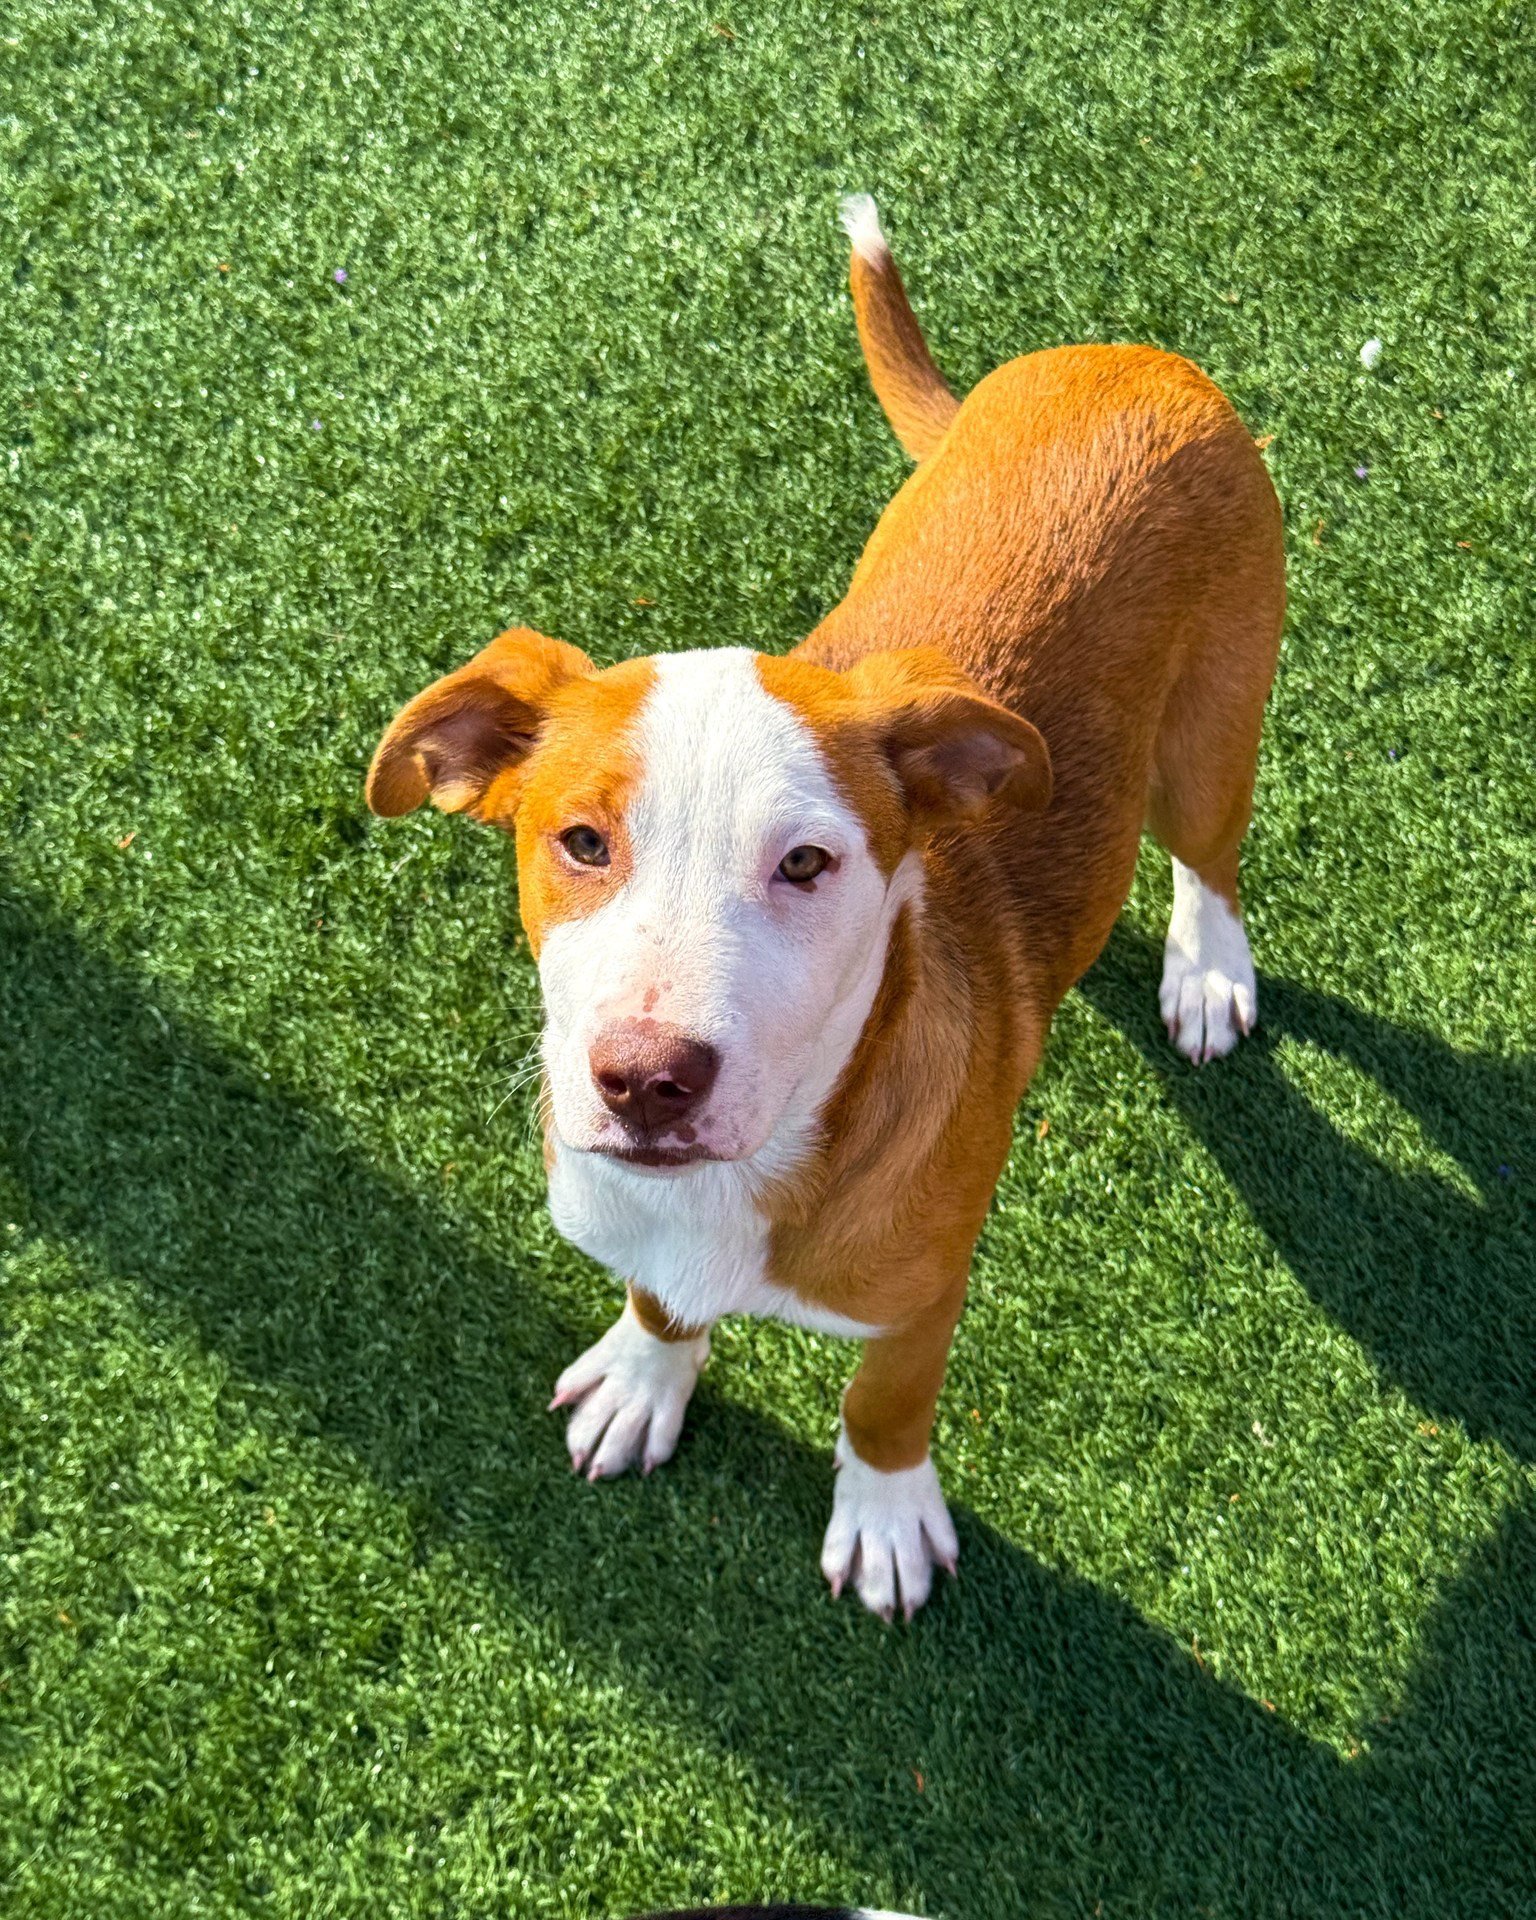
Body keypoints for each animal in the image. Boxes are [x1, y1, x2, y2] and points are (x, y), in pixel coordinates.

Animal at [362, 194, 1282, 1612]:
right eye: (580, 840)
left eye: (807, 864)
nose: (646, 1079)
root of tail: (1125, 357)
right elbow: (661, 1300)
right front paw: (648, 1376)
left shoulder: (926, 1293)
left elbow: (883, 1403)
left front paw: (887, 1514)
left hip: (1214, 729)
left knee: (1212, 854)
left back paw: (1207, 970)